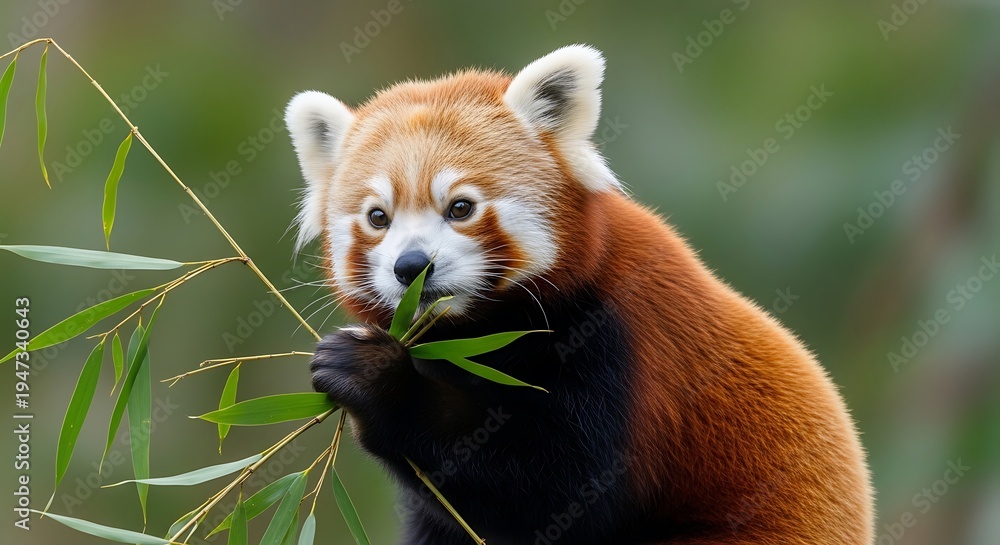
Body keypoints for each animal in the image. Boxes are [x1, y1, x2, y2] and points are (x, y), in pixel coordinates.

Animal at [284, 45, 873, 544]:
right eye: (377, 218)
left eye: (461, 208)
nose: (411, 267)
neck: (482, 332)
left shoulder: (616, 342)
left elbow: (562, 492)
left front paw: (374, 377)